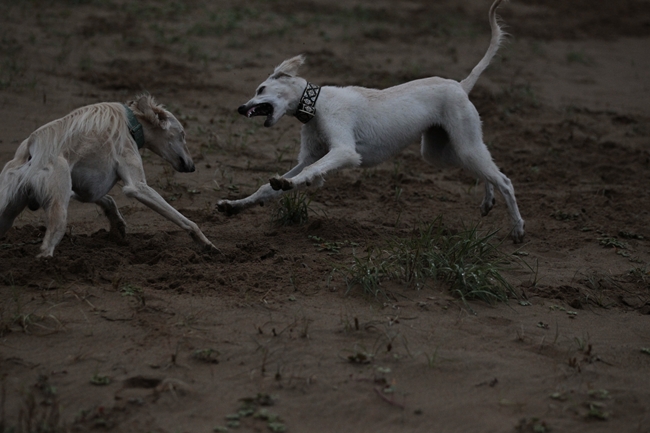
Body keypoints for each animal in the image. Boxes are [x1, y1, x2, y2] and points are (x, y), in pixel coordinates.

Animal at [0, 95, 218, 256]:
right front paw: (206, 243)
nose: (192, 167)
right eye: (182, 134)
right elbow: (186, 220)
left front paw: (117, 224)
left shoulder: (86, 189)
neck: (131, 123)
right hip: (58, 210)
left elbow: (108, 201)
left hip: (8, 211)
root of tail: (32, 148)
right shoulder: (137, 187)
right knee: (47, 248)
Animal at [220, 0, 524, 241]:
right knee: (487, 171)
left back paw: (518, 230)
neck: (317, 105)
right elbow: (272, 186)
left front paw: (288, 184)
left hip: (463, 144)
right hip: (440, 152)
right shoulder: (310, 156)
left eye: (260, 89)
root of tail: (461, 85)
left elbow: (310, 172)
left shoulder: (344, 151)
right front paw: (234, 206)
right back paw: (488, 201)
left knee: (505, 179)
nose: (240, 108)